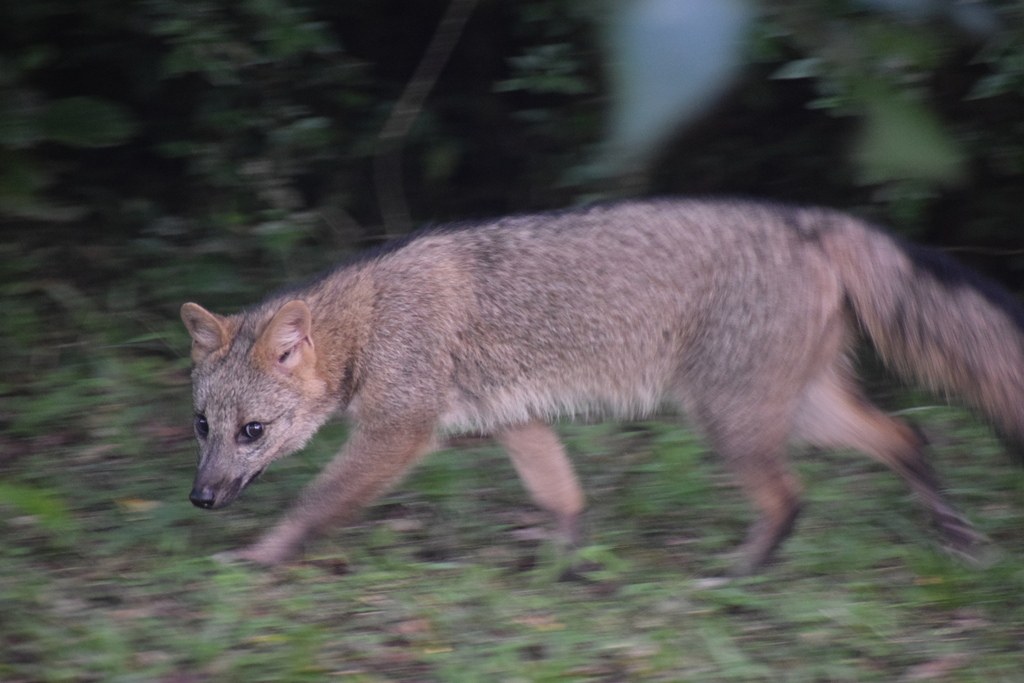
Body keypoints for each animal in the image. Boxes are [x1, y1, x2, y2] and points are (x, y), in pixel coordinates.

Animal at [181, 198, 1024, 575]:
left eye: (252, 431)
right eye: (202, 426)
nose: (200, 498)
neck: (372, 315)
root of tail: (807, 218)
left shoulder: (396, 435)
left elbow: (315, 503)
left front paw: (264, 555)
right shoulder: (517, 420)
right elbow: (564, 498)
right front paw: (563, 563)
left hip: (733, 421)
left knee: (792, 496)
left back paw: (739, 571)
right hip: (801, 412)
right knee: (909, 434)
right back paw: (953, 531)